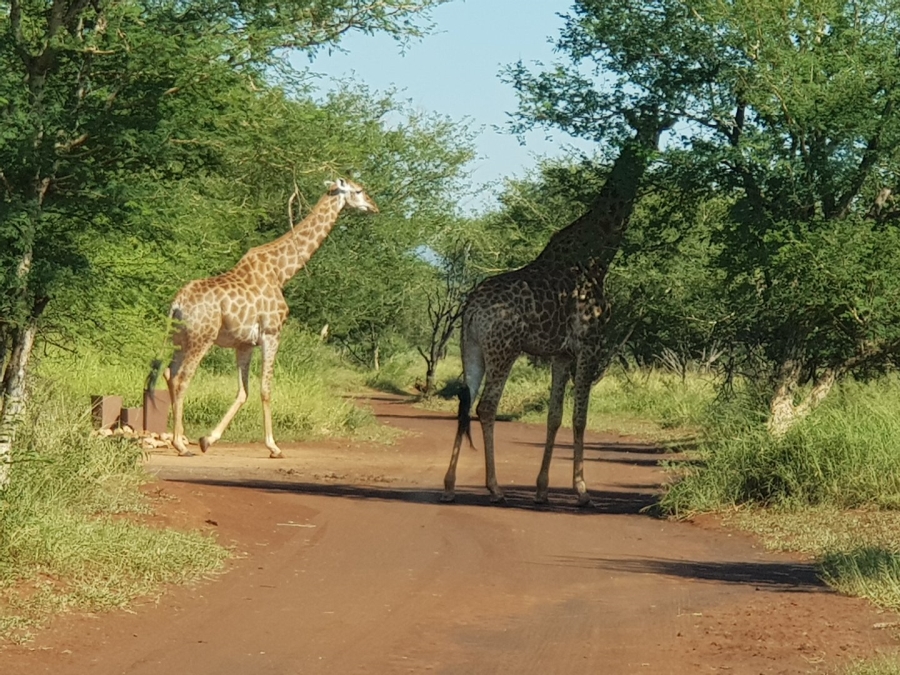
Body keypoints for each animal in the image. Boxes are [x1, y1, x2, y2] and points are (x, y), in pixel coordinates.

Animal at [146, 177, 378, 456]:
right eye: (359, 190)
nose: (374, 207)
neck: (281, 272)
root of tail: (177, 303)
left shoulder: (244, 344)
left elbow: (242, 391)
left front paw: (207, 439)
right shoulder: (271, 333)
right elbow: (265, 389)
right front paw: (273, 446)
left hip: (180, 339)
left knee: (169, 374)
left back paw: (180, 439)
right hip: (202, 338)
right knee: (182, 379)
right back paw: (180, 444)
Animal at [442, 117, 668, 508]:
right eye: (651, 128)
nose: (652, 149)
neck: (597, 255)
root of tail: (470, 308)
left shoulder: (561, 354)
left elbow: (554, 416)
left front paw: (543, 489)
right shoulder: (589, 345)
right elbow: (580, 417)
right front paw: (581, 490)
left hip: (470, 347)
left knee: (464, 402)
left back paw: (451, 485)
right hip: (504, 349)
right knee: (486, 406)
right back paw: (495, 488)